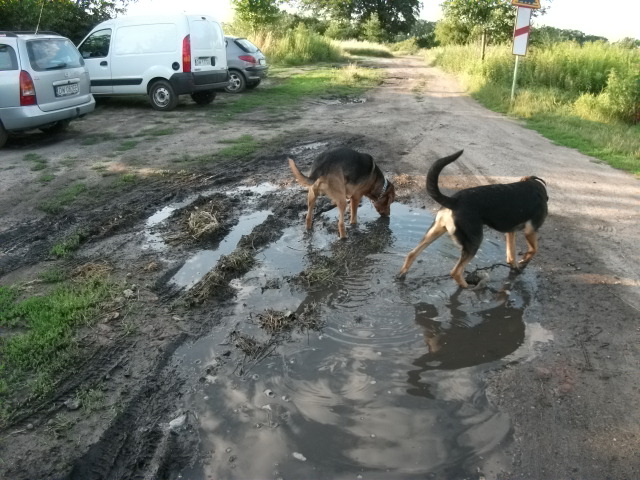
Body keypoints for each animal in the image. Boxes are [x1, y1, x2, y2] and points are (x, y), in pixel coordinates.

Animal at [398, 150, 548, 286]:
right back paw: (470, 287)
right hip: (474, 240)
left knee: (412, 254)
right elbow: (533, 250)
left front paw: (515, 266)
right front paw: (524, 261)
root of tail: (454, 200)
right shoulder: (531, 230)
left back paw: (401, 274)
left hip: (435, 231)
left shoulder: (511, 231)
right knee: (456, 272)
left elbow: (512, 254)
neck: (537, 187)